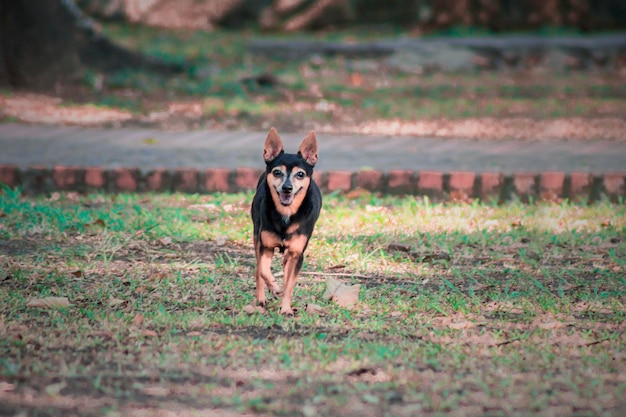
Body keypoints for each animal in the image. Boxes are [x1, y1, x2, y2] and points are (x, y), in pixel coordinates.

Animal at [250, 127, 322, 316]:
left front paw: (286, 309)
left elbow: (289, 283)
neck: (286, 213)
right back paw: (261, 299)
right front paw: (274, 288)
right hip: (256, 235)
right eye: (277, 172)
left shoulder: (297, 253)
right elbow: (262, 270)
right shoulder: (265, 246)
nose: (287, 188)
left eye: (300, 174)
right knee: (259, 270)